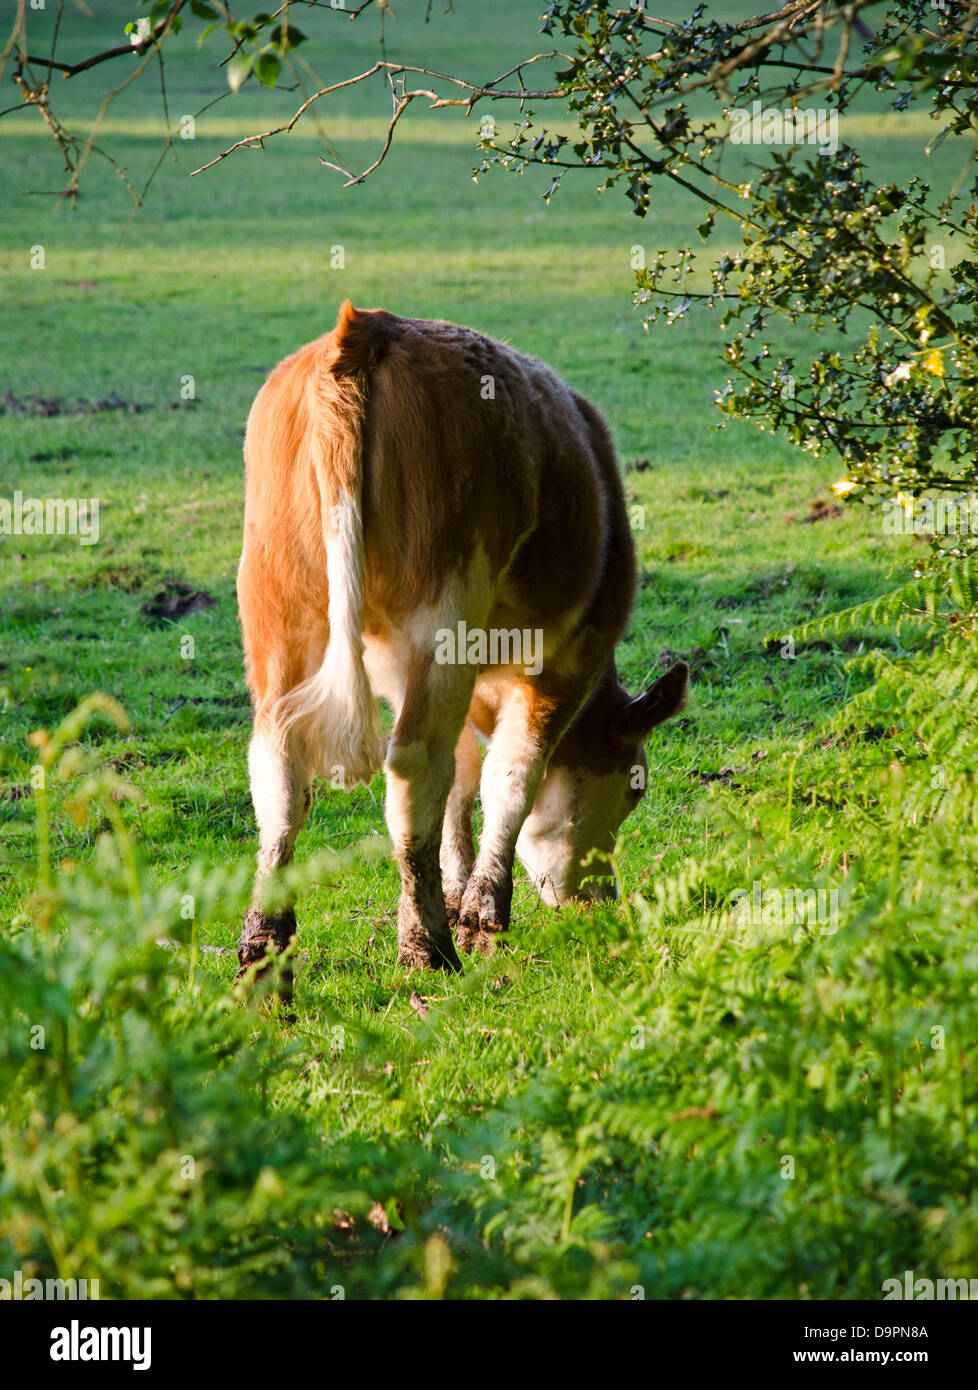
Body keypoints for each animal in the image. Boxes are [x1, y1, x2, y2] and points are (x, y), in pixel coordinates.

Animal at [236, 300, 689, 995]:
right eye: (633, 789)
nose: (603, 898)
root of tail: (368, 327)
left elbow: (463, 782)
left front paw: (458, 893)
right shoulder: (565, 663)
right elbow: (512, 776)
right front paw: (481, 913)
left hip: (277, 608)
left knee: (282, 769)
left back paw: (266, 951)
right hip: (442, 608)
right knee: (413, 765)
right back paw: (427, 946)